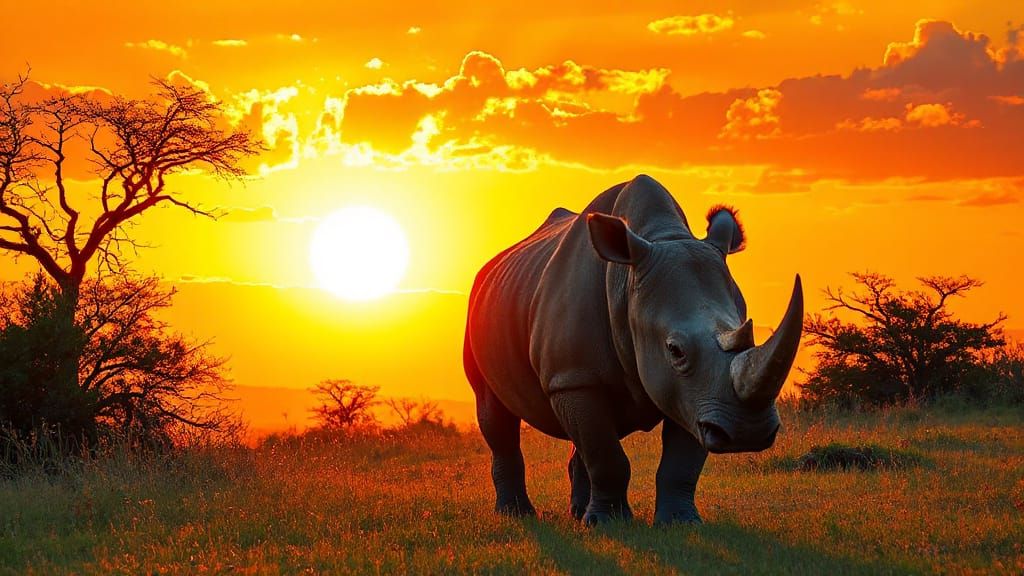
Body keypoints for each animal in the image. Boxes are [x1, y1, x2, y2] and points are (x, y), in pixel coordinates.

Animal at [463, 174, 803, 525]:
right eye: (675, 351)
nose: (747, 433)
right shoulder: (576, 377)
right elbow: (607, 456)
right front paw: (608, 524)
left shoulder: (694, 395)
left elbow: (679, 461)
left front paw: (679, 523)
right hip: (481, 314)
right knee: (495, 415)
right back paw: (517, 514)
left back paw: (578, 513)